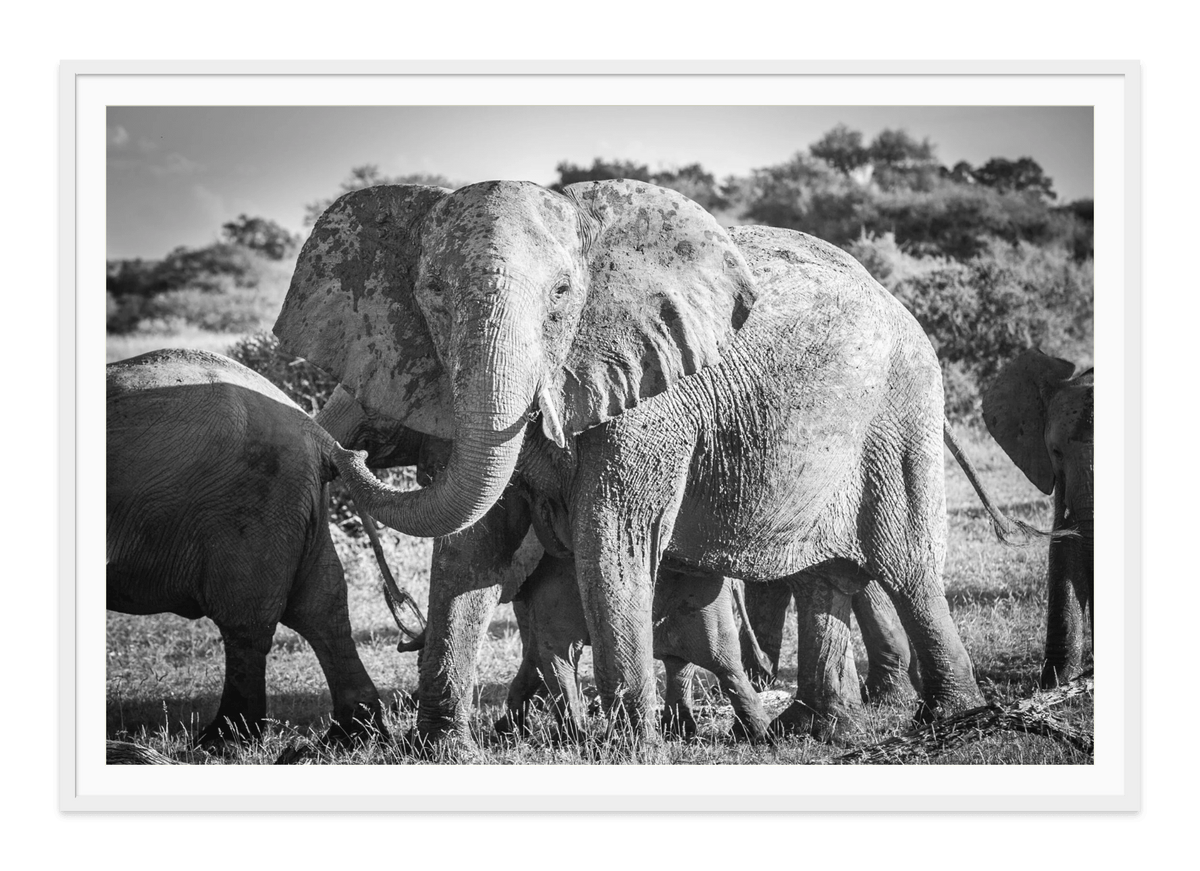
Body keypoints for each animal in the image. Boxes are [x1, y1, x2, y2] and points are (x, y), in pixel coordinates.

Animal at [107, 349, 405, 747]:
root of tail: (315, 432)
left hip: (248, 501)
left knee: (247, 620)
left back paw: (222, 741)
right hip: (291, 499)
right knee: (322, 608)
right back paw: (351, 736)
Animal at [275, 179, 1001, 745]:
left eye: (562, 296)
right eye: (431, 293)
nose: (347, 448)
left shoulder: (651, 394)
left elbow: (611, 538)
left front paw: (630, 749)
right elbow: (470, 547)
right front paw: (445, 750)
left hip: (901, 410)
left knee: (907, 566)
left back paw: (954, 721)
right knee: (819, 576)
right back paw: (814, 729)